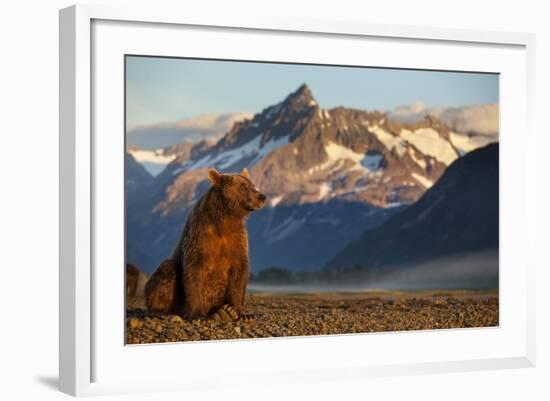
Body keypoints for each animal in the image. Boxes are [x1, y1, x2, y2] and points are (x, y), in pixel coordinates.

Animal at [146, 167, 266, 320]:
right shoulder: (201, 237)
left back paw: (223, 313)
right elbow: (194, 271)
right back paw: (161, 311)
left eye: (252, 184)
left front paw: (240, 311)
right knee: (166, 270)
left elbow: (240, 271)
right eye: (243, 186)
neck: (225, 217)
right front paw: (197, 313)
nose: (262, 196)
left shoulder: (237, 239)